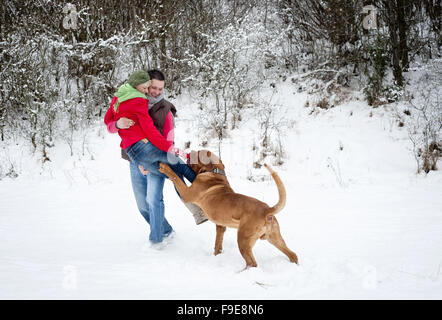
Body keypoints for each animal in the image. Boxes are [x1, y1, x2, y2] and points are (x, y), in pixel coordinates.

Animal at [157, 151, 298, 270]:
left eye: (198, 152)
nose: (189, 151)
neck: (215, 171)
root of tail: (268, 210)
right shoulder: (220, 226)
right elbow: (217, 244)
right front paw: (216, 255)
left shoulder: (186, 193)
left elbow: (175, 177)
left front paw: (164, 167)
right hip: (274, 238)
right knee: (293, 255)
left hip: (243, 240)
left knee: (252, 263)